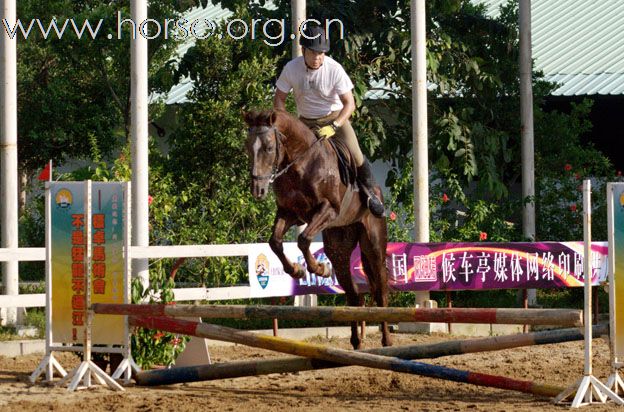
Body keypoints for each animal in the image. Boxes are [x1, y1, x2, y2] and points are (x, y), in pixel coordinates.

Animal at [243, 108, 390, 350]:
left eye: (269, 148)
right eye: (247, 147)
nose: (258, 190)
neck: (300, 163)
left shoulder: (327, 210)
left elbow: (303, 239)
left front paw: (318, 269)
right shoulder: (289, 212)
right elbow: (275, 242)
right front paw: (298, 270)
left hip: (374, 244)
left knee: (380, 292)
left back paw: (387, 341)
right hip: (338, 246)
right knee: (354, 294)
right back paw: (356, 342)